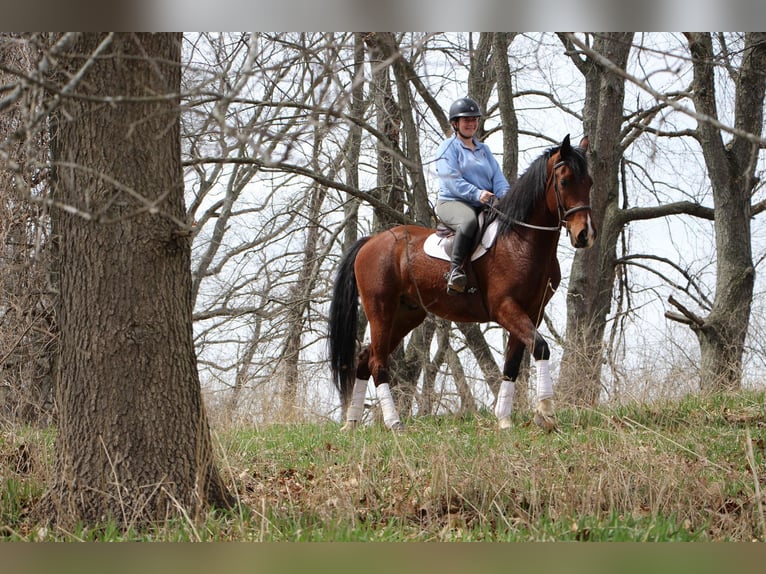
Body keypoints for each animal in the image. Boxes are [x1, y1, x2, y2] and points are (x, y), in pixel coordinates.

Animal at [328, 135, 596, 432]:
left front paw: (504, 419)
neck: (521, 241)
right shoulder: (506, 308)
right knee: (377, 363)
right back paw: (394, 423)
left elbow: (512, 364)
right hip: (381, 310)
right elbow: (540, 348)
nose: (584, 235)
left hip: (406, 314)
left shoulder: (531, 312)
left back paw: (351, 424)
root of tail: (371, 242)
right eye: (565, 181)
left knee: (365, 359)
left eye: (589, 183)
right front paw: (546, 413)